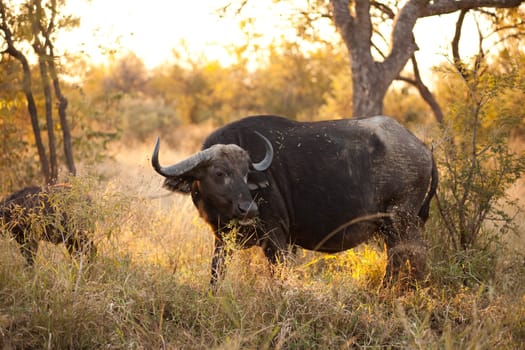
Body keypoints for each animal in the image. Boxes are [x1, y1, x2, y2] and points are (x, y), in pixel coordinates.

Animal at [152, 116, 438, 286]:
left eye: (245, 173)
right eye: (219, 173)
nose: (249, 208)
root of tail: (423, 148)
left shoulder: (276, 239)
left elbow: (278, 278)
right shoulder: (222, 241)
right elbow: (215, 275)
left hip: (402, 220)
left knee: (415, 255)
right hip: (392, 228)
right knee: (397, 258)